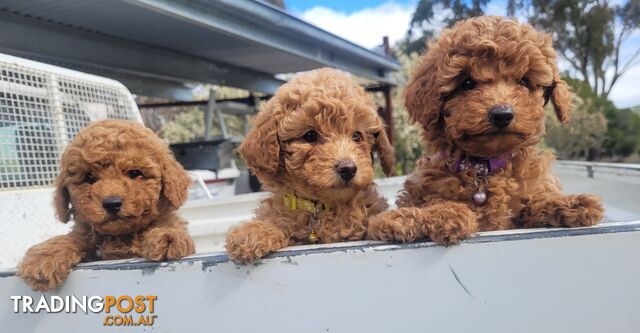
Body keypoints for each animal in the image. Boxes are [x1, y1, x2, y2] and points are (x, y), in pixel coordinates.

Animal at [19, 120, 195, 290]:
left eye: (135, 173)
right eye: (89, 178)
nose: (112, 203)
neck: (121, 236)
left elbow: (168, 230)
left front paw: (168, 237)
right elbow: (72, 238)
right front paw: (43, 259)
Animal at [225, 68, 396, 264]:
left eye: (357, 136)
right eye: (310, 135)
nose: (348, 169)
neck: (320, 209)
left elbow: (372, 222)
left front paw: (396, 219)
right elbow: (276, 221)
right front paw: (251, 233)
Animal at [368, 16, 604, 244]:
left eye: (524, 81)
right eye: (467, 83)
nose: (502, 114)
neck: (484, 167)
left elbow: (533, 205)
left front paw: (573, 203)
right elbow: (430, 206)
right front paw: (443, 215)